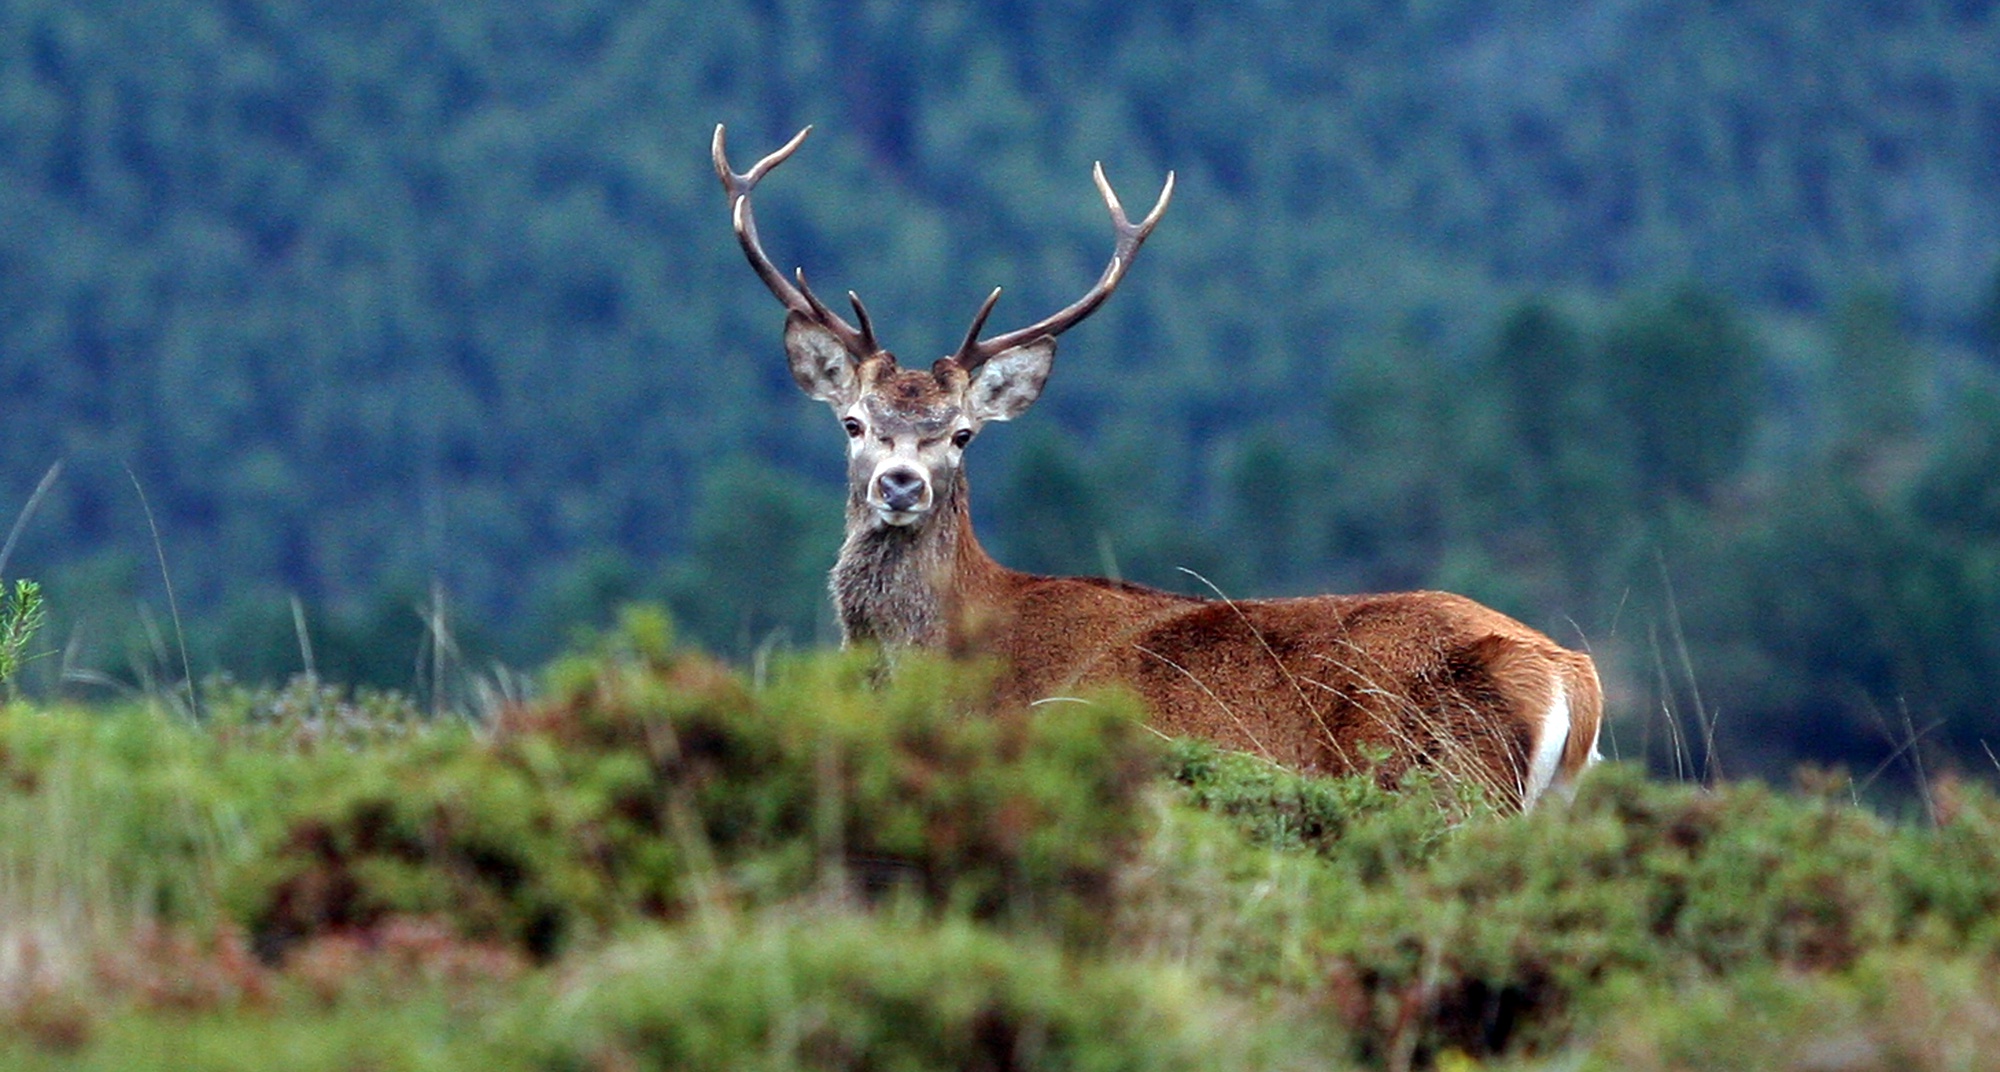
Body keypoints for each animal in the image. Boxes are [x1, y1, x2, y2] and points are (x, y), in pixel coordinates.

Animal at [713, 125, 1603, 809]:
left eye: (962, 434)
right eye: (854, 423)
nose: (901, 484)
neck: (953, 655)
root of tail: (1575, 681)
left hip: (1442, 784)